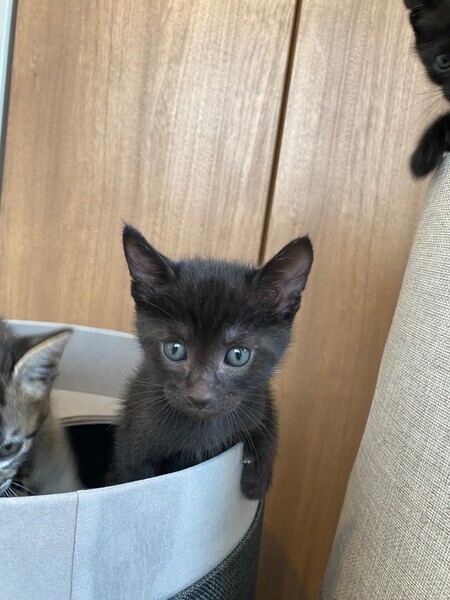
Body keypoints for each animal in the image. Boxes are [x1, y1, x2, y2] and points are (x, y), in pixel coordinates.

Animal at [113, 225, 313, 500]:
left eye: (238, 355)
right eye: (174, 349)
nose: (200, 397)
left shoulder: (260, 397)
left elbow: (267, 422)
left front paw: (256, 479)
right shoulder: (132, 444)